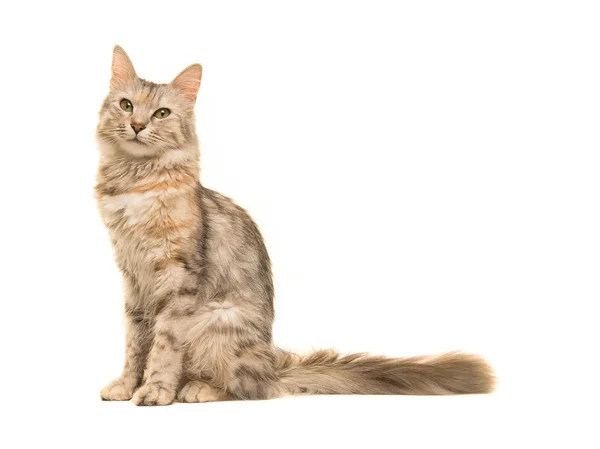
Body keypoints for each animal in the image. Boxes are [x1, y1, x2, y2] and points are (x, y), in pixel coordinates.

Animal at [96, 46, 494, 406]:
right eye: (126, 105)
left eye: (161, 113)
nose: (137, 126)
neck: (135, 182)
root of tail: (274, 368)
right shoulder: (133, 278)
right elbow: (136, 344)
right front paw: (126, 386)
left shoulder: (177, 279)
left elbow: (163, 347)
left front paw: (155, 391)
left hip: (218, 320)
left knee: (249, 388)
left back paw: (197, 389)